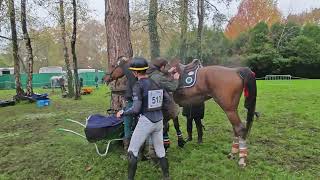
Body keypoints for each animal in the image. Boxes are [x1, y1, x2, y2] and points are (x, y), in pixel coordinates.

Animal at [105, 57, 258, 167]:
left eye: (112, 65)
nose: (105, 78)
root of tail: (236, 70)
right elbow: (172, 125)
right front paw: (177, 142)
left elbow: (165, 127)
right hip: (231, 109)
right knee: (236, 129)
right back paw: (233, 154)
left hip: (228, 109)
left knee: (240, 128)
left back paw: (241, 159)